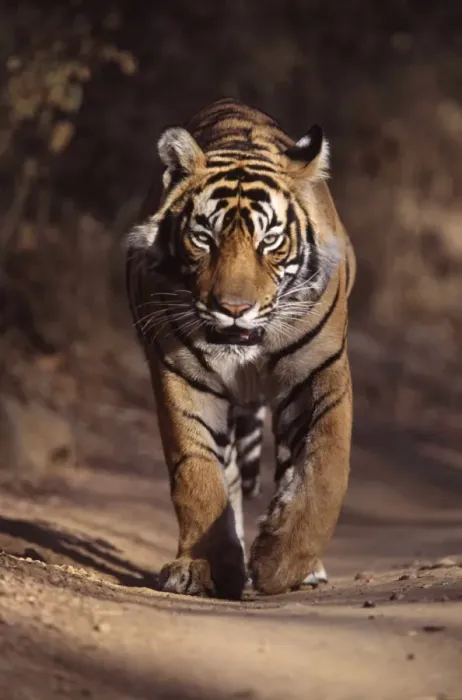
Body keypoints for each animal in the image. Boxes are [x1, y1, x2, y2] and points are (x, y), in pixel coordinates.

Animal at [125, 97, 356, 600]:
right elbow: (197, 474)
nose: (232, 308)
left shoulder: (319, 370)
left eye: (269, 241)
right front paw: (204, 567)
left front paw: (280, 563)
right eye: (203, 238)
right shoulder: (180, 374)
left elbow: (325, 468)